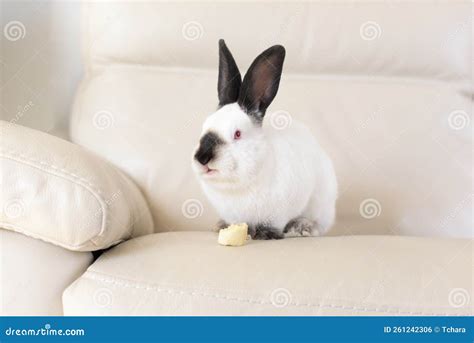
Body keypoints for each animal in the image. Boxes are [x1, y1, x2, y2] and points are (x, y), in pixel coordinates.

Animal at [192, 39, 336, 239]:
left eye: (237, 134)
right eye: (205, 126)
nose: (203, 157)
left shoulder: (279, 212)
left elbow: (272, 225)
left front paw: (265, 234)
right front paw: (227, 227)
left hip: (322, 204)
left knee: (319, 224)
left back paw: (301, 228)